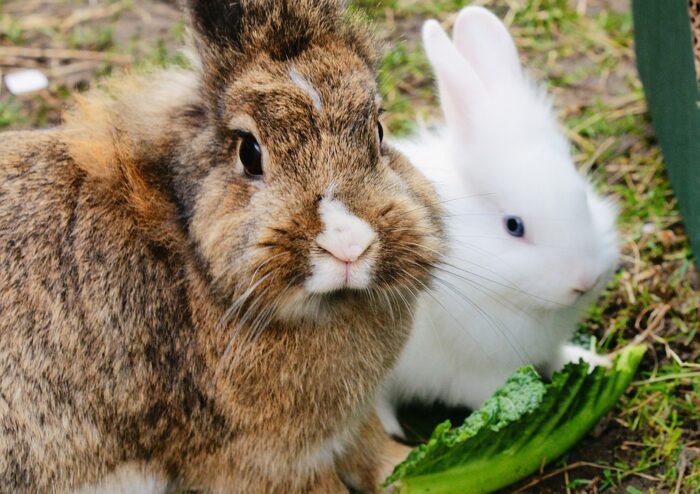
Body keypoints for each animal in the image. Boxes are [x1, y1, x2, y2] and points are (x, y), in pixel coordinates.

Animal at [0, 0, 442, 494]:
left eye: (379, 132)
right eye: (249, 153)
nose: (349, 245)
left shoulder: (347, 429)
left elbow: (375, 451)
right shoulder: (264, 464)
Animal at [380, 6, 620, 436]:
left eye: (582, 197)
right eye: (514, 226)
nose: (585, 281)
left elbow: (558, 356)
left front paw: (596, 363)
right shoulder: (476, 373)